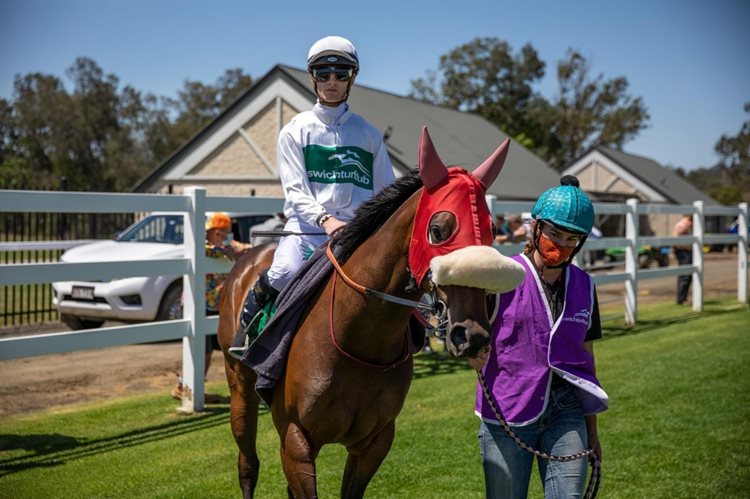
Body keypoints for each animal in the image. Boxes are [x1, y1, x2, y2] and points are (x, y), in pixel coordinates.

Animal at [218, 128, 514, 498]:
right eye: (438, 231)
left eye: (490, 235)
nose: (471, 334)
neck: (356, 341)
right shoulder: (296, 440)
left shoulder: (374, 442)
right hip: (240, 393)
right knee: (248, 465)